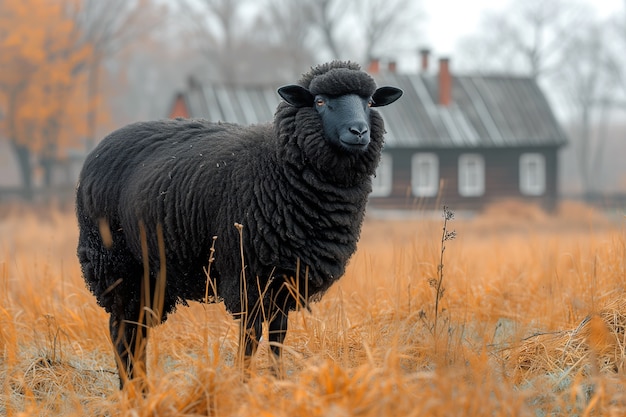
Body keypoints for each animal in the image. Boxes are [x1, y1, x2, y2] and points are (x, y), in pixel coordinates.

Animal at [75, 60, 402, 386]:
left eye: (369, 102)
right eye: (320, 101)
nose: (358, 131)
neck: (277, 164)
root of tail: (99, 148)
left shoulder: (286, 278)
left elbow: (278, 336)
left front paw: (277, 382)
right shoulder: (246, 273)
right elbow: (250, 337)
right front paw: (243, 383)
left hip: (151, 274)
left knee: (136, 332)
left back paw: (141, 388)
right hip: (115, 263)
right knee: (120, 331)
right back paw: (131, 389)